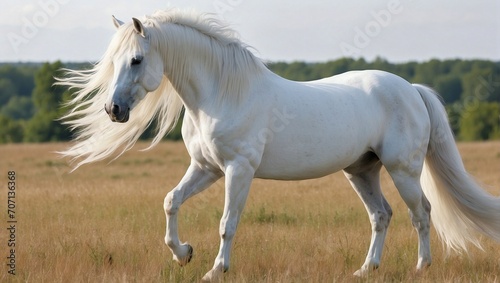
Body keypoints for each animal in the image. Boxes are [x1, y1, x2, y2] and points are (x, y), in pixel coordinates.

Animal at [56, 8, 500, 282]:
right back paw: (365, 269)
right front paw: (184, 253)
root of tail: (411, 89)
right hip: (362, 171)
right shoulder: (206, 169)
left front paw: (216, 269)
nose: (114, 110)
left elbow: (227, 223)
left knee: (420, 214)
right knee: (382, 216)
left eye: (135, 60)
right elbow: (171, 202)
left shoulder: (239, 170)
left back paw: (421, 268)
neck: (223, 94)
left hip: (403, 169)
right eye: (114, 61)